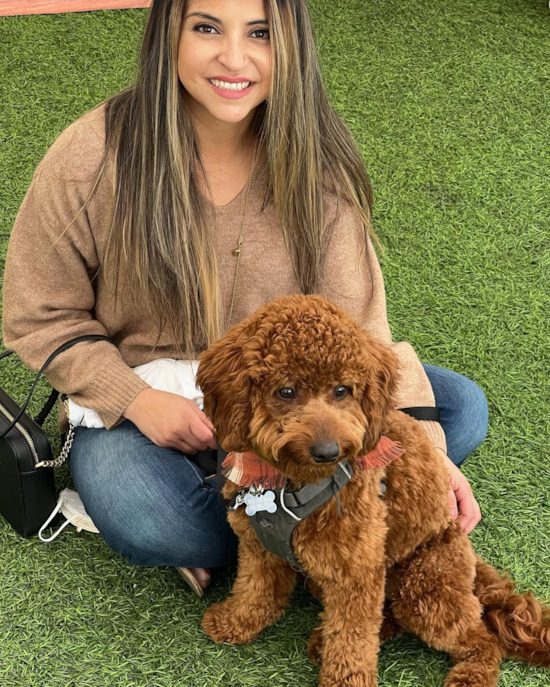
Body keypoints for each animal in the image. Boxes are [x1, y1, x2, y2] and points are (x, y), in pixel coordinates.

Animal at [197, 292, 550, 684]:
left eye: (342, 390)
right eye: (285, 391)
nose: (327, 451)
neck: (291, 485)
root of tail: (473, 563)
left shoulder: (357, 570)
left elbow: (352, 639)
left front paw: (344, 679)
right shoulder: (257, 546)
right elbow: (256, 590)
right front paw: (234, 621)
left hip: (425, 586)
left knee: (481, 638)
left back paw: (469, 675)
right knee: (387, 618)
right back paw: (322, 641)